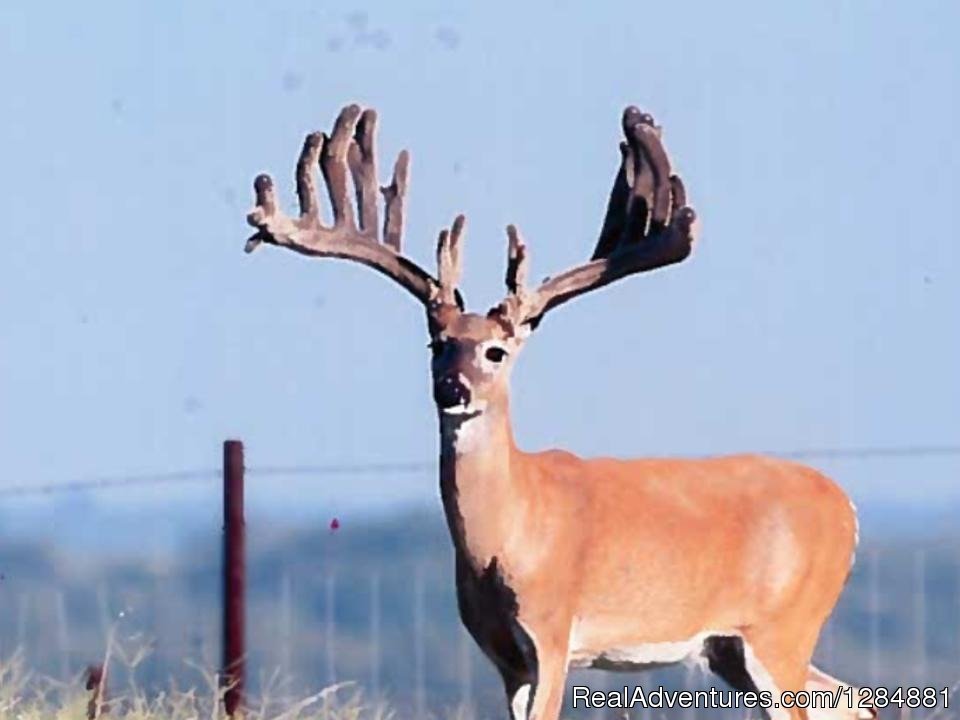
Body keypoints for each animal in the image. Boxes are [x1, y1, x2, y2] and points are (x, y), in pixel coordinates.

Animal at [248, 102, 876, 720]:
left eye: (495, 351)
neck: (509, 532)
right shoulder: (503, 657)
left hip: (783, 627)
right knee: (851, 704)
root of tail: (847, 509)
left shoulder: (553, 633)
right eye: (436, 344)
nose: (452, 390)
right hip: (731, 648)